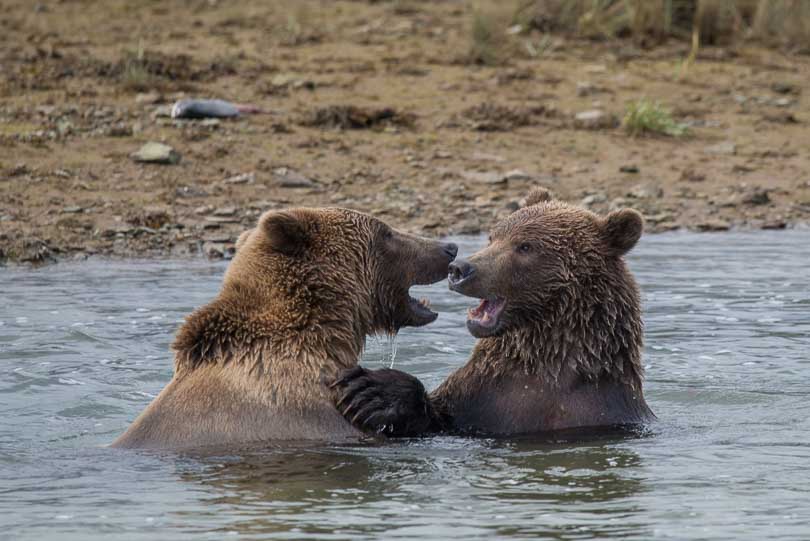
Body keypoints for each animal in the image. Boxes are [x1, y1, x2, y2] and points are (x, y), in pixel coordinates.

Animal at [332, 188, 652, 436]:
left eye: (525, 246)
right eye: (493, 236)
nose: (460, 268)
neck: (548, 365)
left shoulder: (594, 412)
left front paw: (370, 391)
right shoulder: (481, 395)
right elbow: (437, 416)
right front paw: (375, 392)